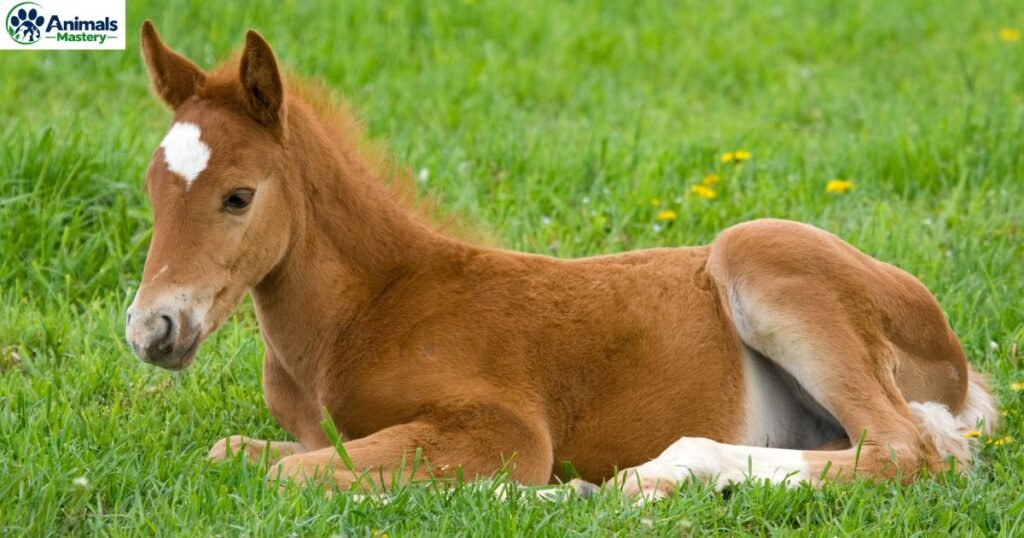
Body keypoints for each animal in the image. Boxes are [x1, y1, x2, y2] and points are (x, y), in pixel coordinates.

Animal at [125, 21, 998, 499]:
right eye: (151, 188)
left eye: (238, 196)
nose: (150, 329)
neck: (362, 314)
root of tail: (960, 366)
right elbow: (234, 455)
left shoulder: (503, 429)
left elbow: (286, 475)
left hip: (757, 251)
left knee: (905, 450)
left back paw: (650, 477)